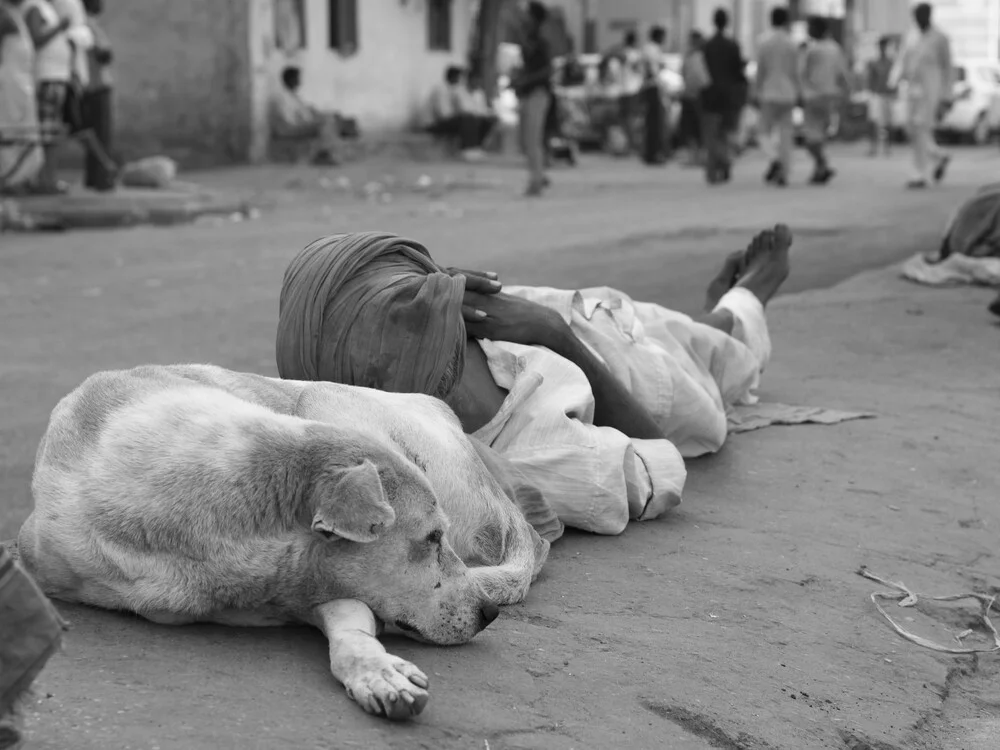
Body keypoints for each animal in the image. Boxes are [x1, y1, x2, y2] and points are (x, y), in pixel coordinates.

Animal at [17, 364, 548, 724]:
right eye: (431, 538)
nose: (490, 614)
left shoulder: (320, 586)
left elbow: (353, 630)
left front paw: (376, 670)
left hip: (325, 400)